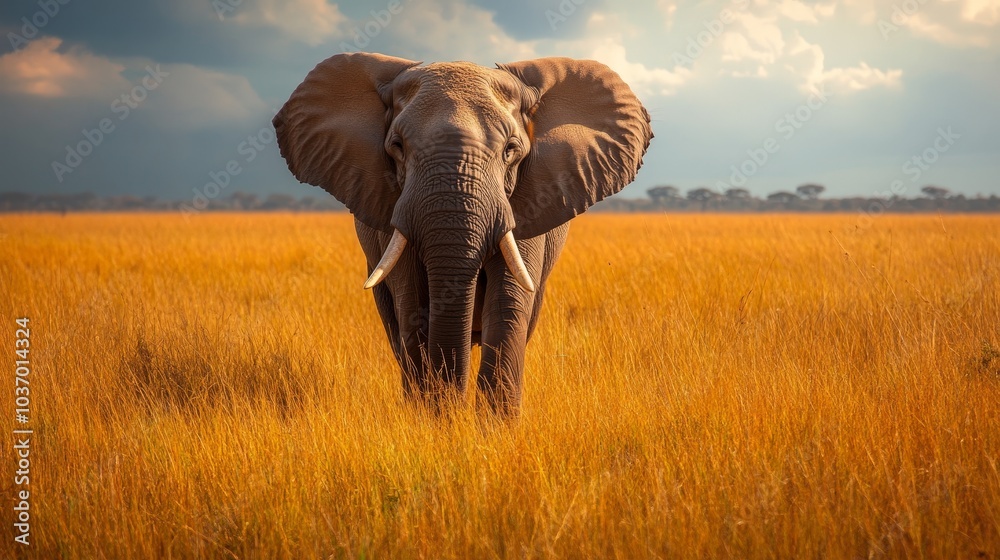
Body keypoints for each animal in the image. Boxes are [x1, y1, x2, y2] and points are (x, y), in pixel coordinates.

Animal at [273, 52, 652, 416]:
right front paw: (435, 422)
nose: (453, 408)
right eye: (397, 146)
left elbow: (508, 305)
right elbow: (413, 306)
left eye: (510, 149)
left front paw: (493, 428)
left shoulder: (527, 200)